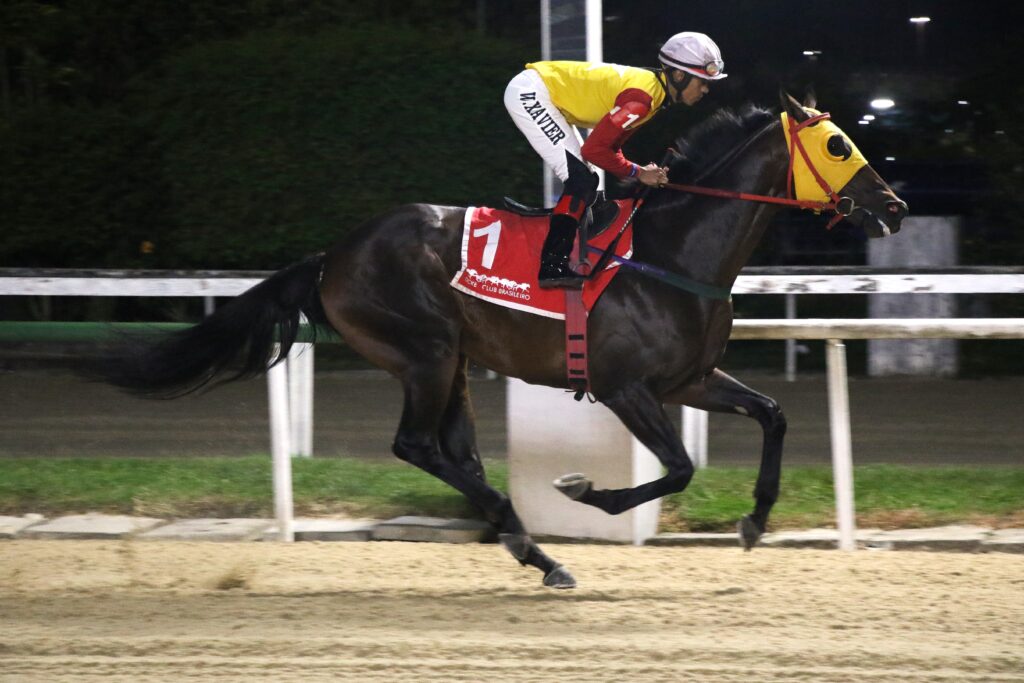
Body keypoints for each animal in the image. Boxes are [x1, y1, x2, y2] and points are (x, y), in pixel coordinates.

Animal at [101, 94, 905, 589]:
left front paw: (753, 520)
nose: (893, 206)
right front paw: (587, 491)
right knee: (418, 445)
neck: (673, 251)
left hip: (454, 359)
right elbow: (676, 467)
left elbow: (773, 414)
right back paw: (535, 545)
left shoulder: (691, 379)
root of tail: (332, 256)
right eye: (839, 144)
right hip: (424, 352)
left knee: (458, 454)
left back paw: (531, 547)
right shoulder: (624, 386)